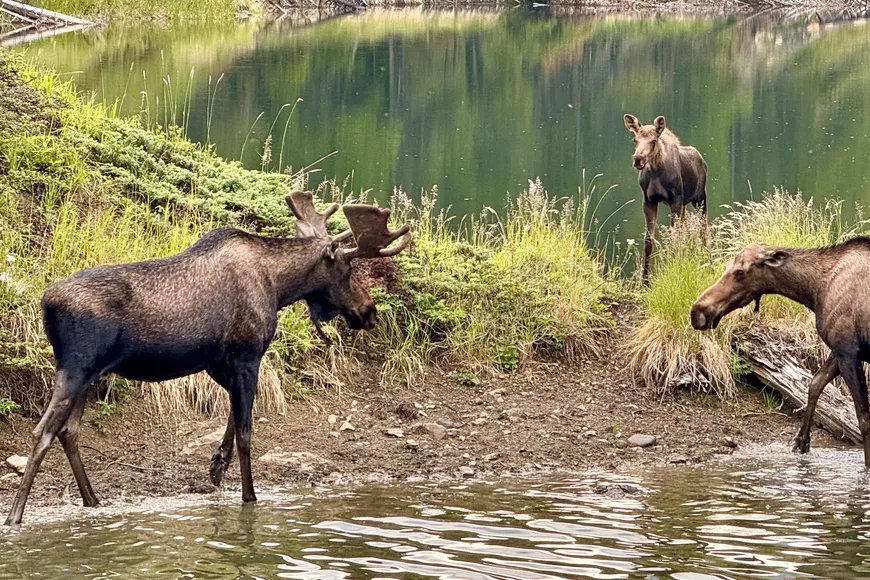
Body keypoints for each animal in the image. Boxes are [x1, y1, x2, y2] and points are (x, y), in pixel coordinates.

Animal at [4, 191, 411, 526]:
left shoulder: (217, 361)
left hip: (89, 373)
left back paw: (92, 501)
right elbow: (247, 430)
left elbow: (232, 415)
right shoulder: (247, 353)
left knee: (68, 431)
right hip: (76, 367)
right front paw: (248, 495)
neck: (278, 287)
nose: (369, 312)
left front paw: (216, 467)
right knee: (43, 431)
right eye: (348, 269)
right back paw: (15, 516)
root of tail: (45, 304)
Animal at [623, 114, 708, 283]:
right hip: (685, 205)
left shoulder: (675, 200)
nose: (638, 159)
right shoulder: (648, 201)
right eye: (635, 140)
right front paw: (645, 281)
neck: (656, 172)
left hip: (700, 199)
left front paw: (674, 270)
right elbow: (648, 240)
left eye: (653, 141)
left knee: (703, 231)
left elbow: (674, 237)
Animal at [690, 239, 870, 466]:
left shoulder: (848, 351)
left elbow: (863, 420)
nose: (697, 312)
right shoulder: (839, 351)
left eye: (740, 272)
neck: (815, 291)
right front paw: (801, 443)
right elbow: (814, 384)